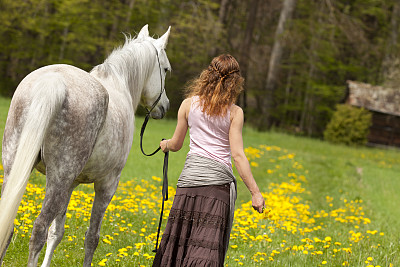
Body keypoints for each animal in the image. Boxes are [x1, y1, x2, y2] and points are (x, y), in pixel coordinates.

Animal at [0, 24, 170, 266]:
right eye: (165, 69)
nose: (164, 106)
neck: (120, 84)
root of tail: (53, 83)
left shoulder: (71, 184)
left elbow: (57, 233)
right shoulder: (107, 185)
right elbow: (92, 237)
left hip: (16, 169)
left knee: (9, 224)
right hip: (58, 180)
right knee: (39, 229)